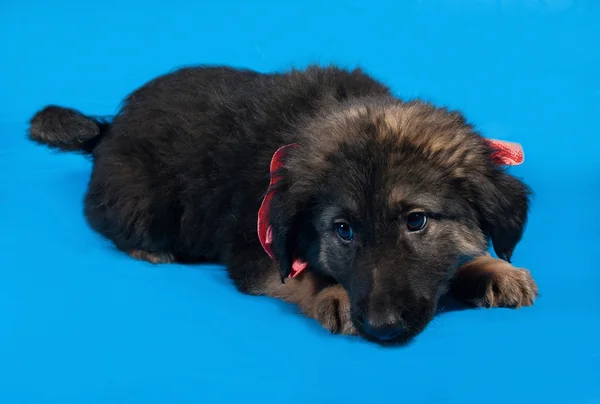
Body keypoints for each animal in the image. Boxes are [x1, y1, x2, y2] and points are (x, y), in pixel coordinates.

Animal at [28, 65, 540, 344]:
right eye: (343, 230)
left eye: (416, 221)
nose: (381, 326)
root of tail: (108, 129)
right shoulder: (255, 251)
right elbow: (299, 275)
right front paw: (333, 294)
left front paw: (492, 269)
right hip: (141, 204)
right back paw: (150, 250)